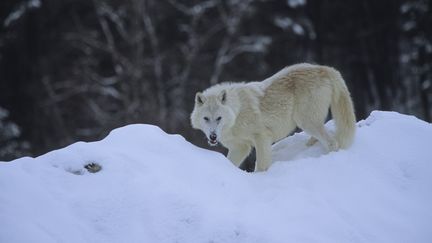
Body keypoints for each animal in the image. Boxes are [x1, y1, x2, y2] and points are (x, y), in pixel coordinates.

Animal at [191, 63, 356, 172]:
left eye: (219, 118)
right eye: (206, 119)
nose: (213, 136)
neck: (237, 112)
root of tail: (325, 68)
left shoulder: (262, 137)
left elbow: (261, 165)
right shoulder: (240, 147)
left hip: (306, 121)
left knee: (332, 142)